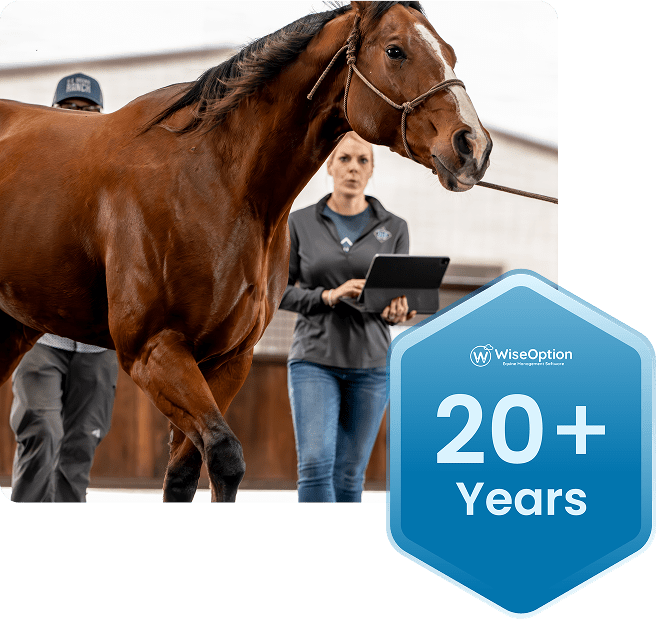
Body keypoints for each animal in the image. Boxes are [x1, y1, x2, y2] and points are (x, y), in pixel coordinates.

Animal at [0, 1, 491, 502]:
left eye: (450, 52)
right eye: (395, 50)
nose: (472, 145)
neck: (218, 181)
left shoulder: (228, 360)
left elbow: (185, 473)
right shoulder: (153, 350)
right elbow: (224, 454)